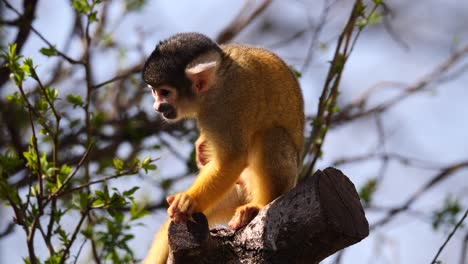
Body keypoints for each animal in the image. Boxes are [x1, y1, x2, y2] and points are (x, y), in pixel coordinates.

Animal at [142, 33, 304, 264]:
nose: (157, 107)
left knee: (270, 136)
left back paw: (259, 205)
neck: (218, 77)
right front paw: (201, 147)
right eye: (155, 92)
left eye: (165, 92)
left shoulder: (224, 105)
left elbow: (232, 158)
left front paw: (190, 200)